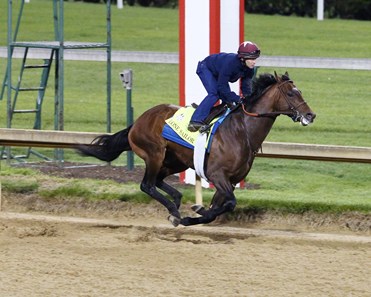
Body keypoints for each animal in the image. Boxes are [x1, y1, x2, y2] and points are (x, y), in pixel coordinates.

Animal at [77, 71, 316, 227]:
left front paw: (195, 213)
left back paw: (176, 202)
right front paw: (187, 215)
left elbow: (218, 209)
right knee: (147, 184)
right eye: (291, 93)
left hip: (175, 161)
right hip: (154, 153)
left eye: (300, 91)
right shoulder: (218, 174)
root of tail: (136, 123)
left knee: (158, 181)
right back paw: (173, 209)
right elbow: (230, 203)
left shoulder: (229, 180)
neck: (243, 132)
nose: (310, 115)